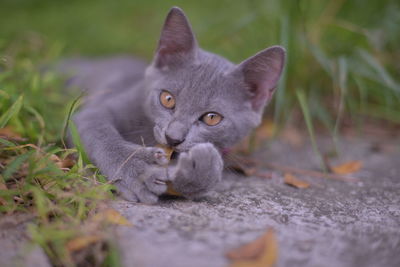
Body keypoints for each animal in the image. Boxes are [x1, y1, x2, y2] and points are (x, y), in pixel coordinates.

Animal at [61, 6, 284, 204]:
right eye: (167, 99)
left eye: (212, 118)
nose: (173, 138)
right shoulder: (95, 112)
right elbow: (100, 133)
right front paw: (138, 169)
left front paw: (202, 168)